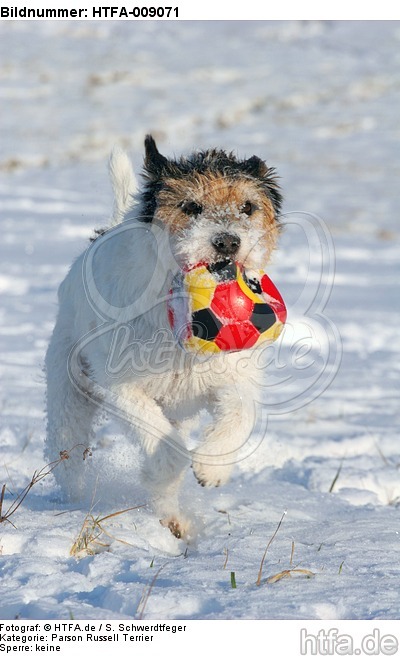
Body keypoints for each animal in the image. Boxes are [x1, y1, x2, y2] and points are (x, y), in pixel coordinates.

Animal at [44, 135, 282, 540]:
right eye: (191, 206)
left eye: (247, 207)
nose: (227, 242)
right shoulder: (124, 387)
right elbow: (163, 445)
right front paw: (162, 472)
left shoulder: (231, 375)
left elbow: (240, 414)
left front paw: (212, 467)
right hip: (68, 392)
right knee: (67, 448)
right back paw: (76, 497)